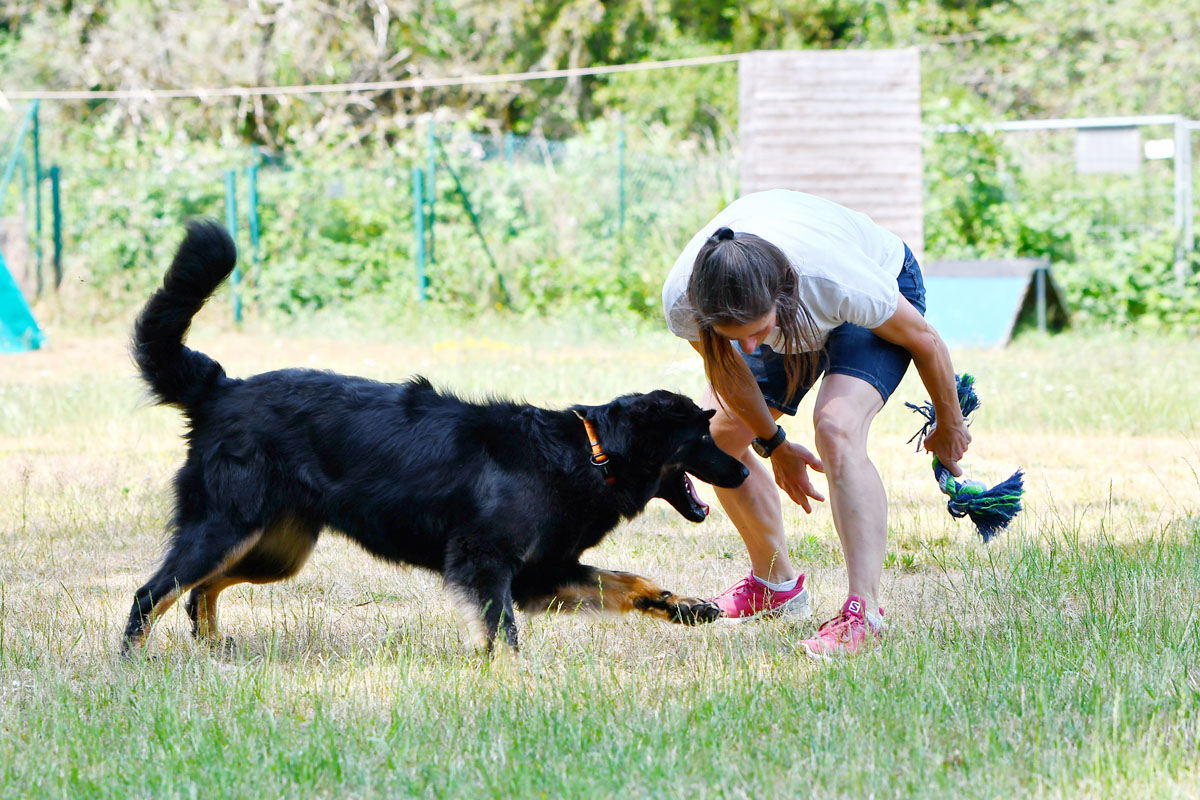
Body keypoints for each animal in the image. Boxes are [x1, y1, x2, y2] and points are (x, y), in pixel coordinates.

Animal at [119, 221, 739, 652]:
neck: (587, 451)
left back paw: (211, 647)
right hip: (226, 528)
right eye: (703, 436)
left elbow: (630, 581)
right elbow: (503, 634)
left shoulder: (544, 573)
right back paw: (133, 664)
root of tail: (220, 388)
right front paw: (513, 681)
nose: (742, 468)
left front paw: (688, 607)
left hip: (276, 549)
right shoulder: (484, 562)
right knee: (153, 593)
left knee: (201, 590)